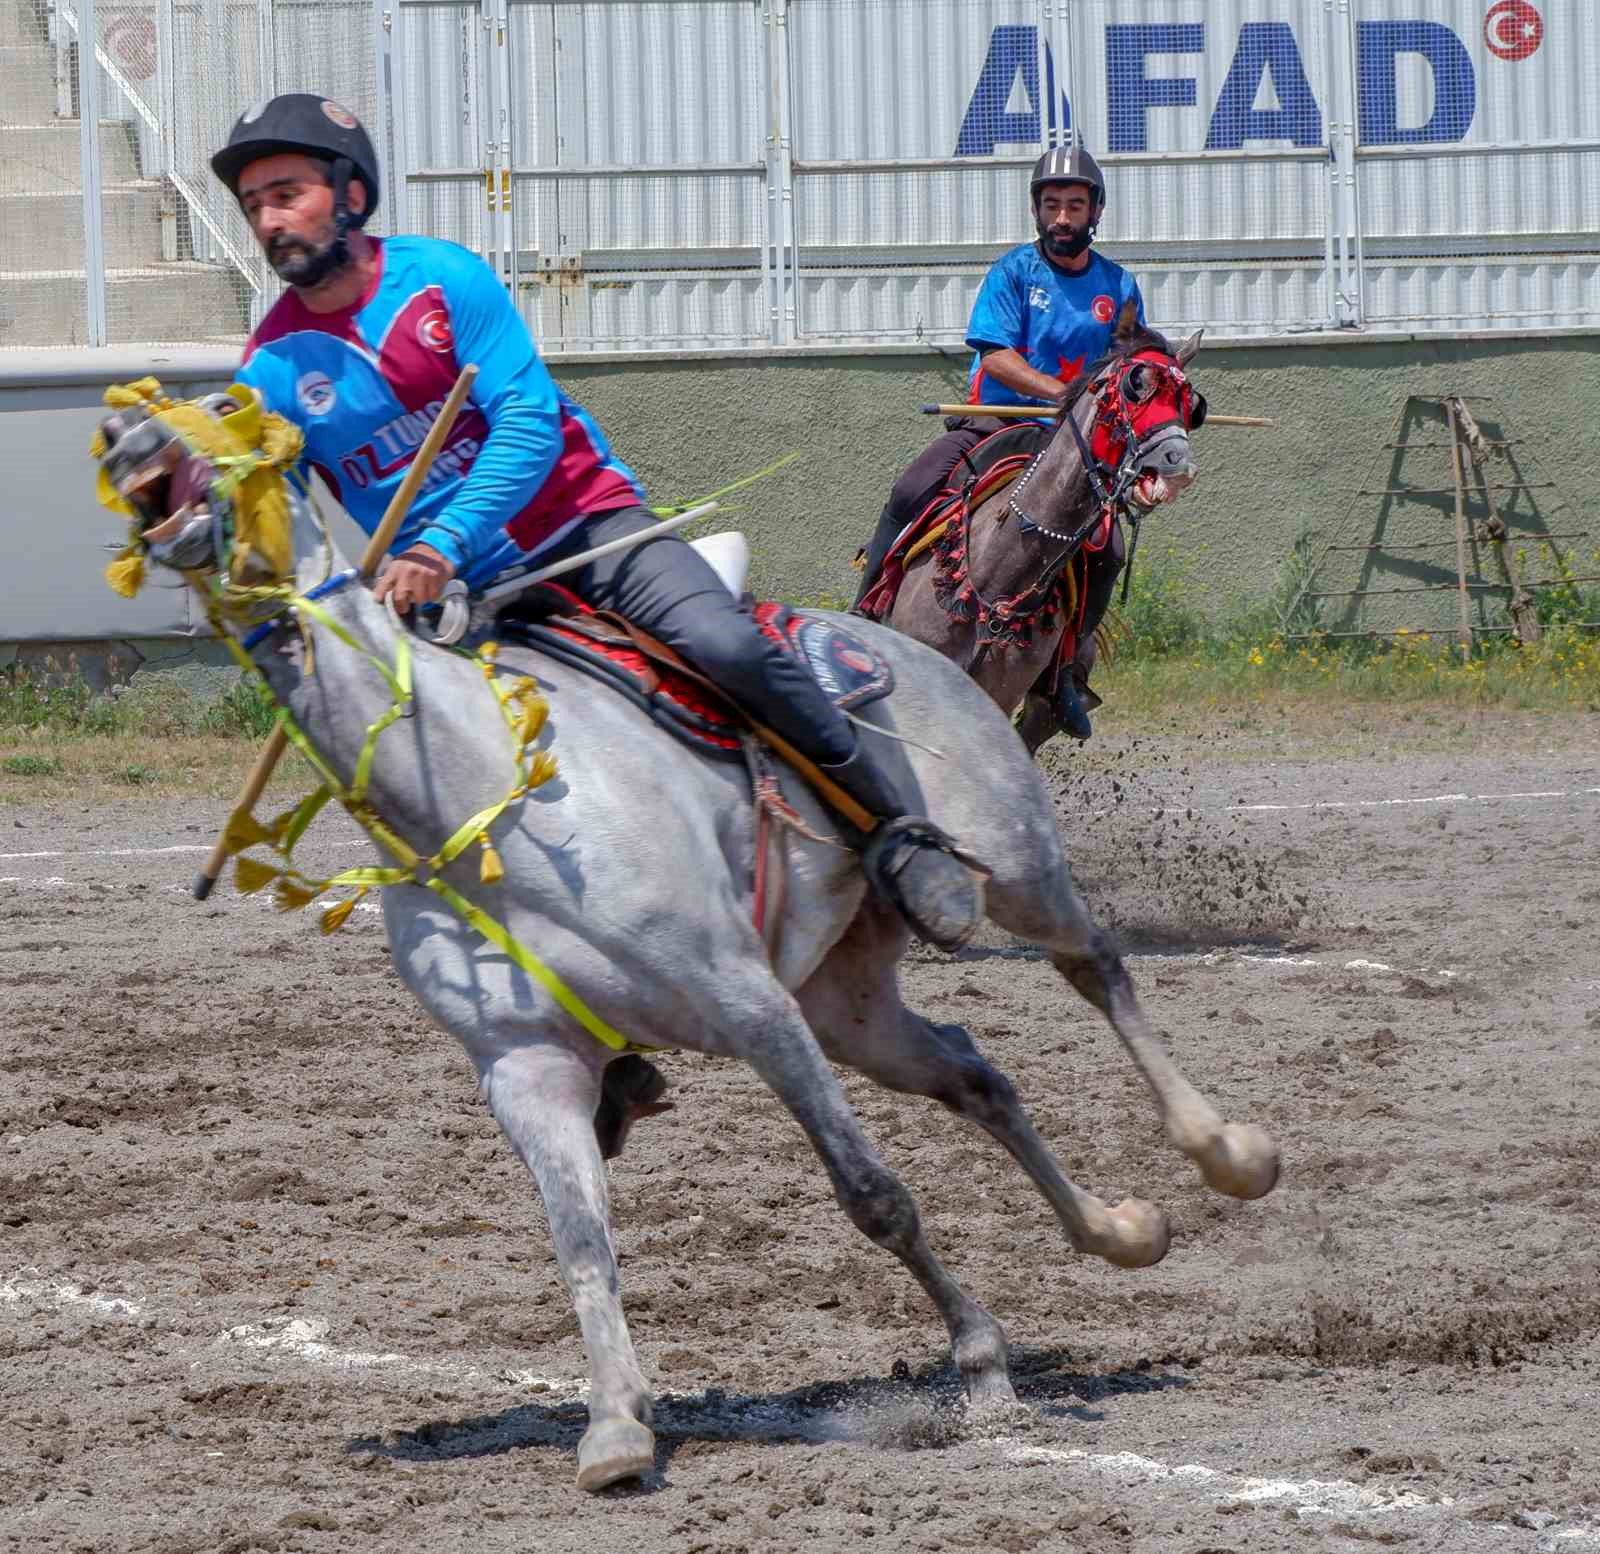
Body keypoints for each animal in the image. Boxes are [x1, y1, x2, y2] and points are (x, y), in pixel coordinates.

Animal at [100, 412, 1273, 1497]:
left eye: (234, 421)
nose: (126, 435)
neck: (483, 795)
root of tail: (900, 647)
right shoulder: (527, 1067)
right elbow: (582, 1242)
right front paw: (617, 1425)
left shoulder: (749, 1005)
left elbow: (874, 1196)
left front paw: (979, 1366)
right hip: (848, 1001)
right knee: (975, 1072)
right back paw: (1118, 1231)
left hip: (1015, 872)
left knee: (1096, 969)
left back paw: (1226, 1151)